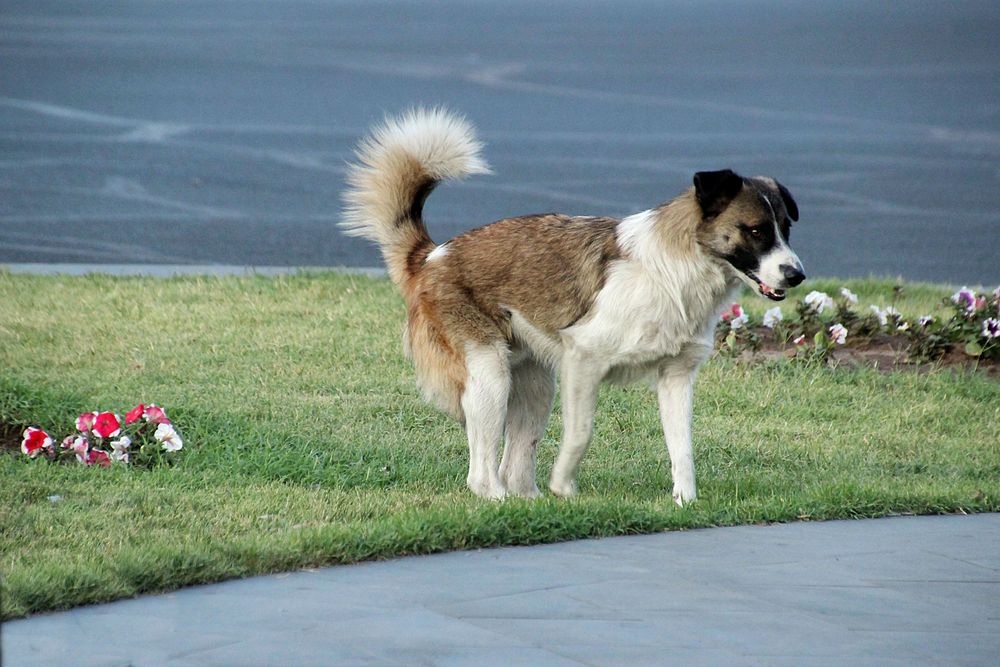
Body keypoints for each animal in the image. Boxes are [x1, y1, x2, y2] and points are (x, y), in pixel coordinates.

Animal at [344, 111, 804, 506]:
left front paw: (685, 502)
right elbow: (581, 433)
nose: (797, 274)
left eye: (786, 228)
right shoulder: (583, 360)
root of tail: (431, 256)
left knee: (513, 465)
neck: (675, 270)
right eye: (756, 231)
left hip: (534, 387)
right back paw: (500, 500)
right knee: (481, 472)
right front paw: (564, 486)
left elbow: (683, 448)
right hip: (489, 374)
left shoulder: (676, 377)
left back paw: (529, 504)